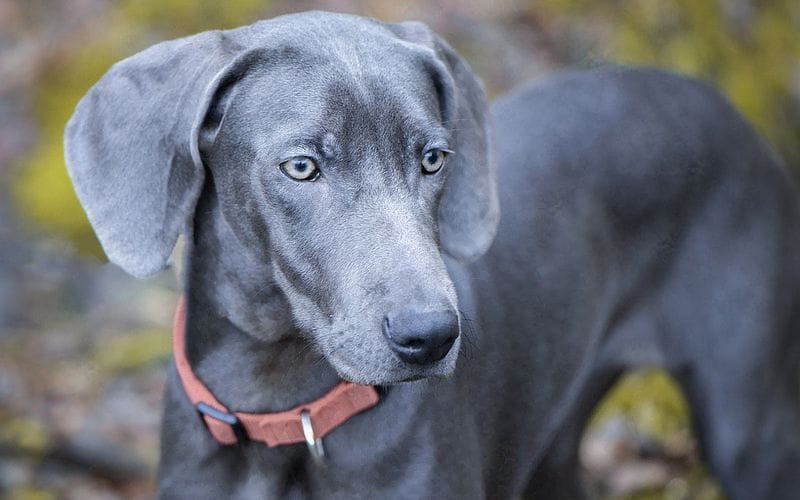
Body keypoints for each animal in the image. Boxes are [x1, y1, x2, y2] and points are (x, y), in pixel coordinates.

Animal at [65, 9, 796, 498]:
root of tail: (726, 109)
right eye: (301, 167)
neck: (281, 404)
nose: (432, 336)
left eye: (433, 158)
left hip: (749, 432)